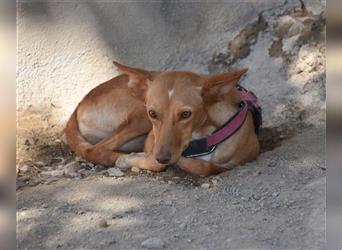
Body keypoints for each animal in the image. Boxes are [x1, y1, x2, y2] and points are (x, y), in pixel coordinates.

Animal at [65, 61, 262, 177]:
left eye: (185, 114)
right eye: (153, 113)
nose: (163, 157)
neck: (204, 137)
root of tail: (79, 104)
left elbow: (207, 167)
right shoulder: (153, 140)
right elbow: (159, 162)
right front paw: (132, 159)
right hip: (139, 116)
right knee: (95, 150)